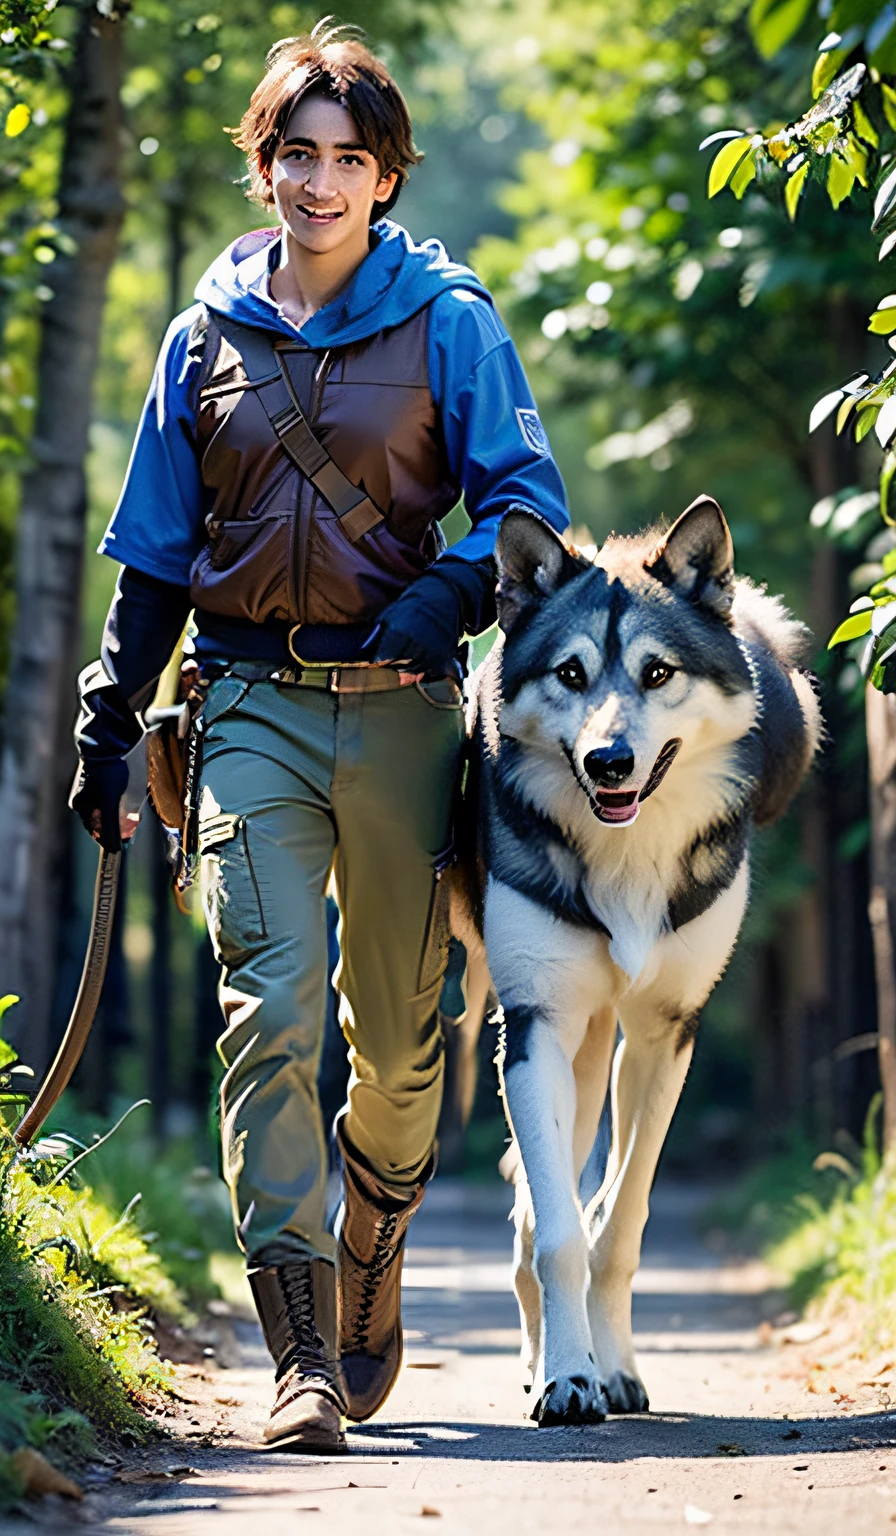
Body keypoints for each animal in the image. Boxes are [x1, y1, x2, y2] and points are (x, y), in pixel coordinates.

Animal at [454, 500, 817, 1425]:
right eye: (571, 674)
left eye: (657, 673)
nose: (607, 761)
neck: (626, 855)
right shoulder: (535, 1028)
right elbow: (560, 1233)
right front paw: (566, 1379)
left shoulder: (664, 1037)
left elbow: (618, 1223)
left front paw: (610, 1371)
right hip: (560, 1050)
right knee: (529, 1220)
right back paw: (541, 1358)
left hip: (601, 1058)